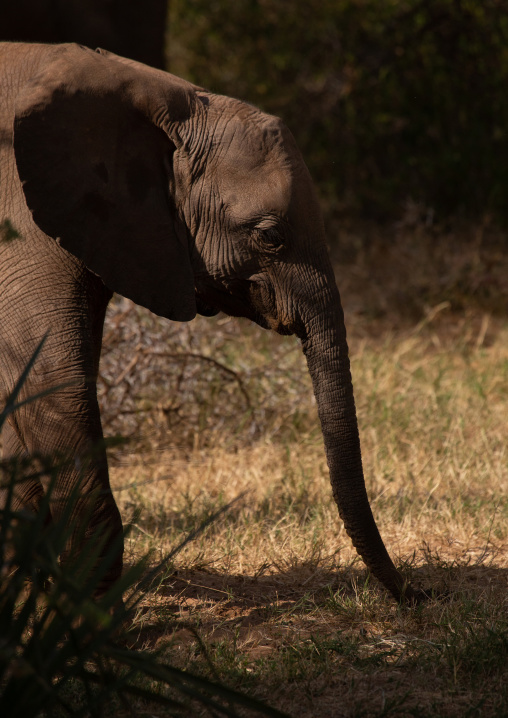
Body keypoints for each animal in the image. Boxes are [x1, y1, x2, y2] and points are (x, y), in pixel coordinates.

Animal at [0, 42, 425, 603]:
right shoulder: (23, 226)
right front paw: (90, 609)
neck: (168, 101)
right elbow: (54, 384)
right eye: (270, 238)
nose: (414, 593)